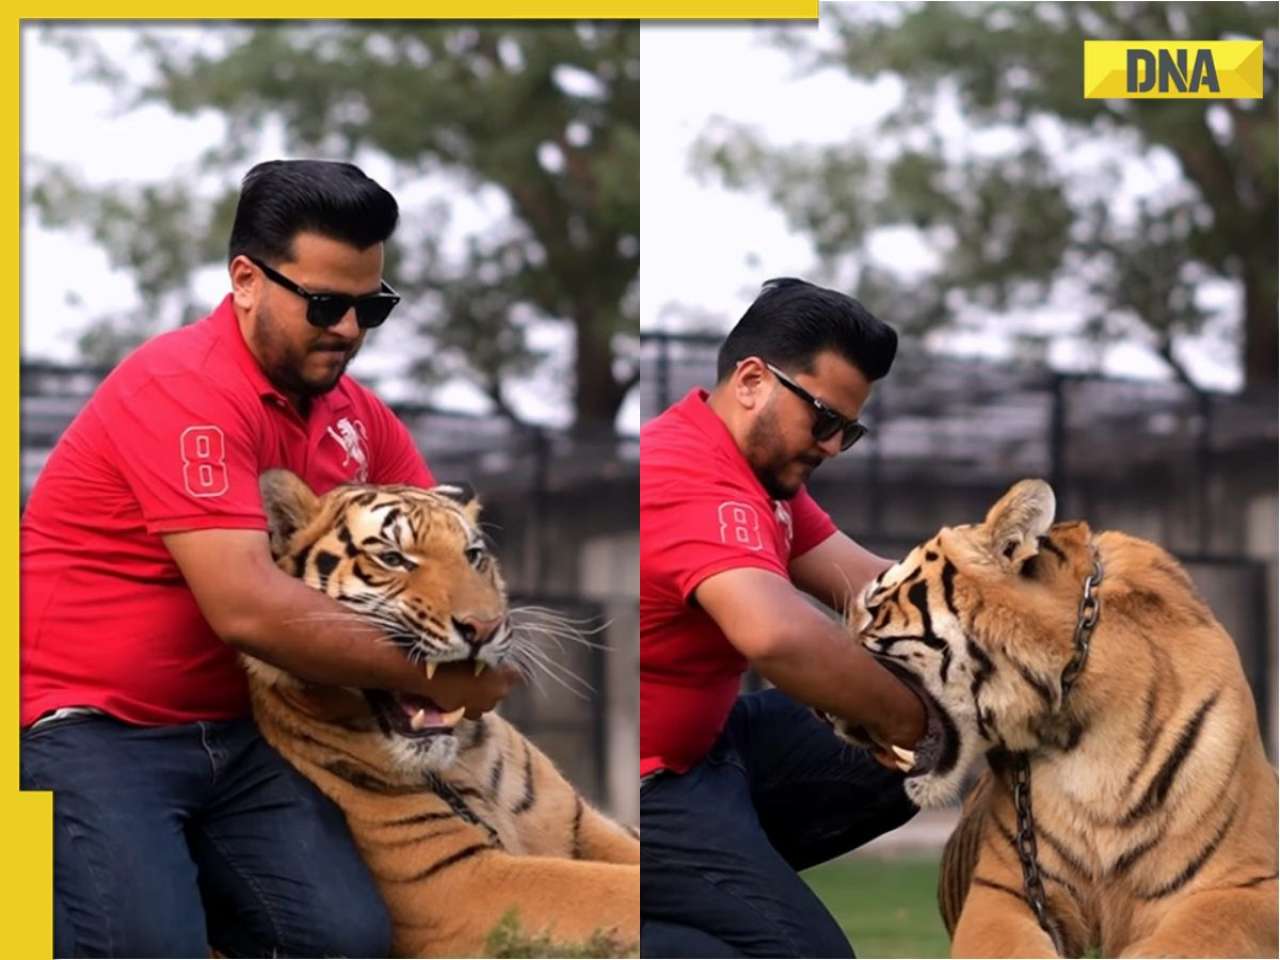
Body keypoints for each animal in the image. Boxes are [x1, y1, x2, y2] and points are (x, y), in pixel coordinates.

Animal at [240, 471, 640, 957]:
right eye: (393, 558)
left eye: (473, 557)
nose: (484, 627)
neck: (464, 757)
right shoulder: (457, 880)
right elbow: (612, 891)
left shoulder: (581, 825)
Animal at [834, 481, 1274, 960]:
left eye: (874, 606)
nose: (823, 707)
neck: (1090, 726)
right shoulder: (1004, 888)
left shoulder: (1244, 884)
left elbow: (1179, 945)